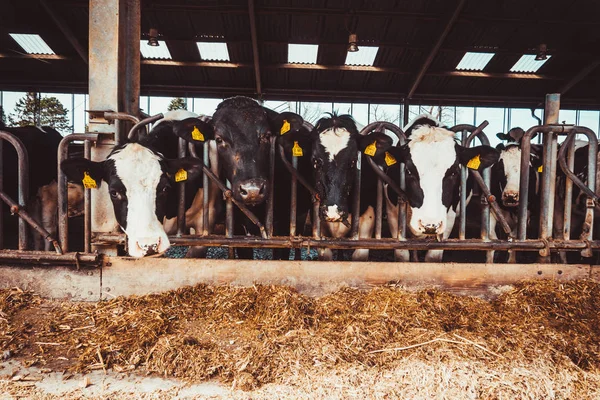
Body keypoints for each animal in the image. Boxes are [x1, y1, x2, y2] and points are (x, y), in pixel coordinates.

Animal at [378, 114, 500, 262]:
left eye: (454, 173)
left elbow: (433, 257)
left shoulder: (448, 217)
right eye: (408, 171)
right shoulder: (392, 212)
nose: (429, 225)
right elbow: (402, 254)